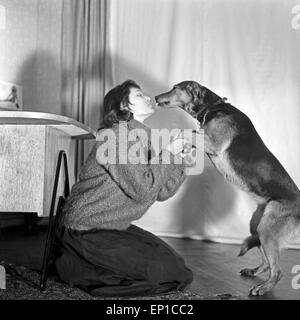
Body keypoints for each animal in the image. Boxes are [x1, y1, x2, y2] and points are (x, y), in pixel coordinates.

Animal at [155, 81, 300, 296]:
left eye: (175, 88)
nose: (155, 97)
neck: (212, 107)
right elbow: (188, 135)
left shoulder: (212, 143)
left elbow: (185, 133)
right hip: (257, 225)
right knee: (267, 262)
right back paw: (253, 272)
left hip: (266, 229)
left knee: (278, 271)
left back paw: (263, 288)